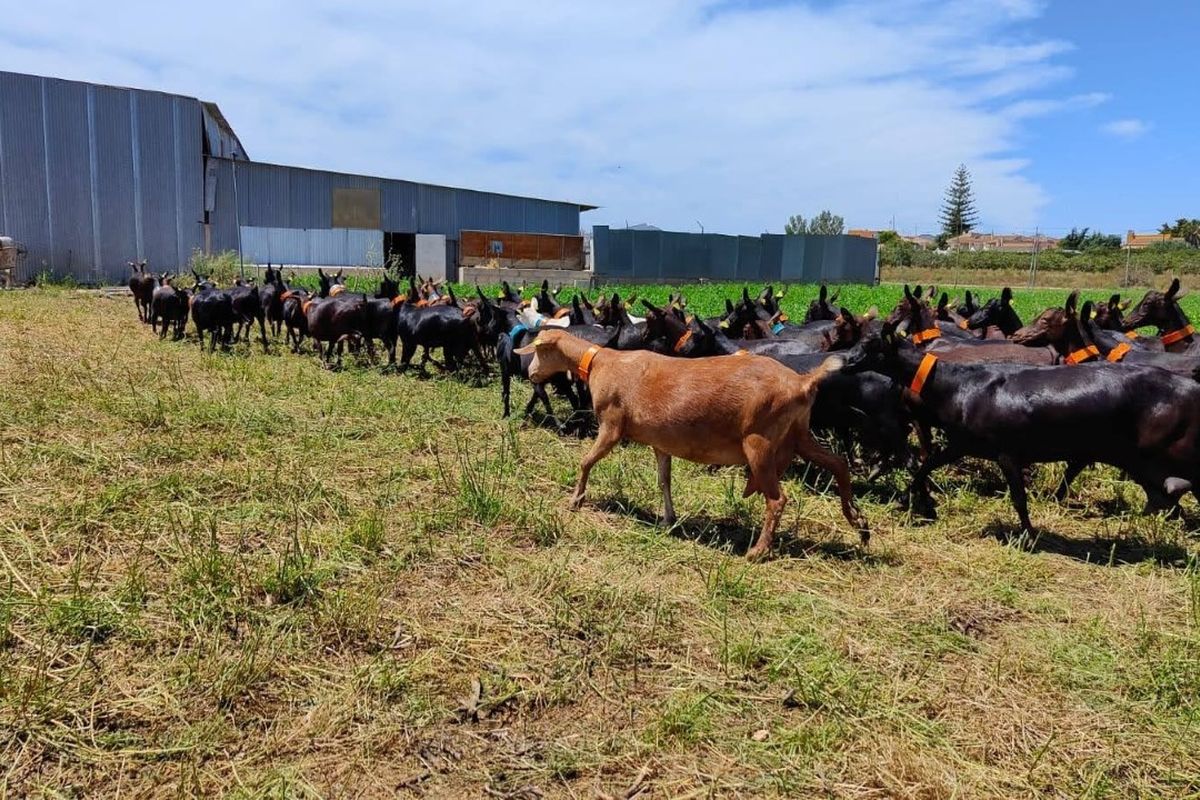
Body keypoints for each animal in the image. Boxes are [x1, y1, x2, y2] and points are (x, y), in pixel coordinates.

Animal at [513, 328, 864, 561]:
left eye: (540, 351)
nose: (531, 374)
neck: (600, 362)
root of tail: (803, 382)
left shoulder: (612, 425)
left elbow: (586, 460)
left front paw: (576, 499)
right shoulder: (660, 442)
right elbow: (664, 480)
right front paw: (668, 519)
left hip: (760, 442)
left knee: (777, 500)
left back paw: (758, 551)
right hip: (799, 434)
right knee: (839, 465)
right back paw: (859, 522)